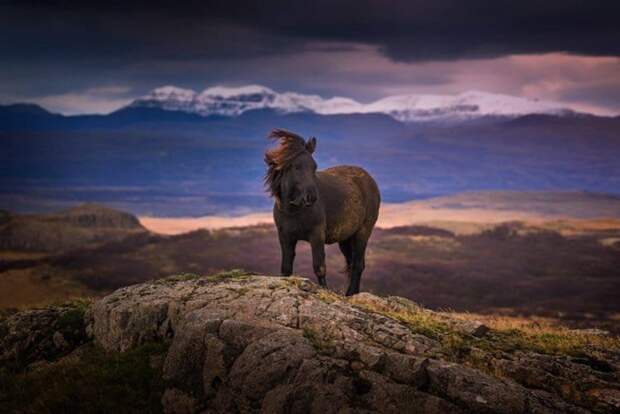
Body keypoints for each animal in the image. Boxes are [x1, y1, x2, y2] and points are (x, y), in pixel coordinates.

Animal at [264, 129, 380, 294]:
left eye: (314, 167)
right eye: (296, 167)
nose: (311, 197)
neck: (293, 211)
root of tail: (370, 180)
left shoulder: (316, 235)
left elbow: (319, 266)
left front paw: (324, 289)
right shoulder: (285, 237)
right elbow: (286, 268)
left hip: (362, 233)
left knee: (358, 264)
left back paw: (350, 293)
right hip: (345, 239)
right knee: (352, 263)